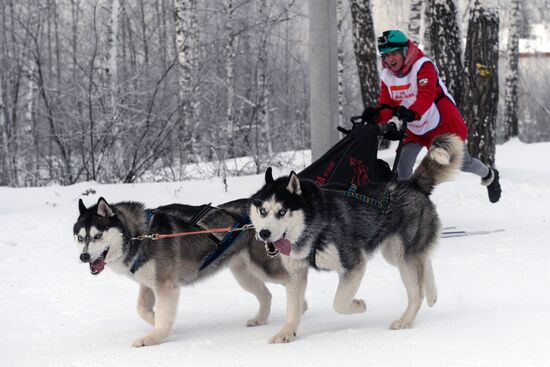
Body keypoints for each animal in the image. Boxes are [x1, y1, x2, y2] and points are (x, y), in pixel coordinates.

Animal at [76, 198, 298, 348]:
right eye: (80, 237)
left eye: (97, 235)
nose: (84, 256)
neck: (140, 235)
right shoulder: (148, 283)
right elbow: (141, 309)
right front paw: (157, 322)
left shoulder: (165, 286)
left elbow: (162, 315)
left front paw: (154, 336)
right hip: (244, 274)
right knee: (266, 295)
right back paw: (261, 319)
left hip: (266, 268)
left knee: (293, 282)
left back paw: (296, 313)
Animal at [250, 134, 466, 342]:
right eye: (263, 211)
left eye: (282, 211)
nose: (264, 233)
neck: (314, 225)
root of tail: (412, 184)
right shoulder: (296, 273)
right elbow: (293, 310)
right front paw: (286, 333)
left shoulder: (354, 263)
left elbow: (339, 302)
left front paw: (358, 305)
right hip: (395, 253)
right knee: (424, 261)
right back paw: (432, 294)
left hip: (402, 255)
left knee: (416, 293)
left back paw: (405, 320)